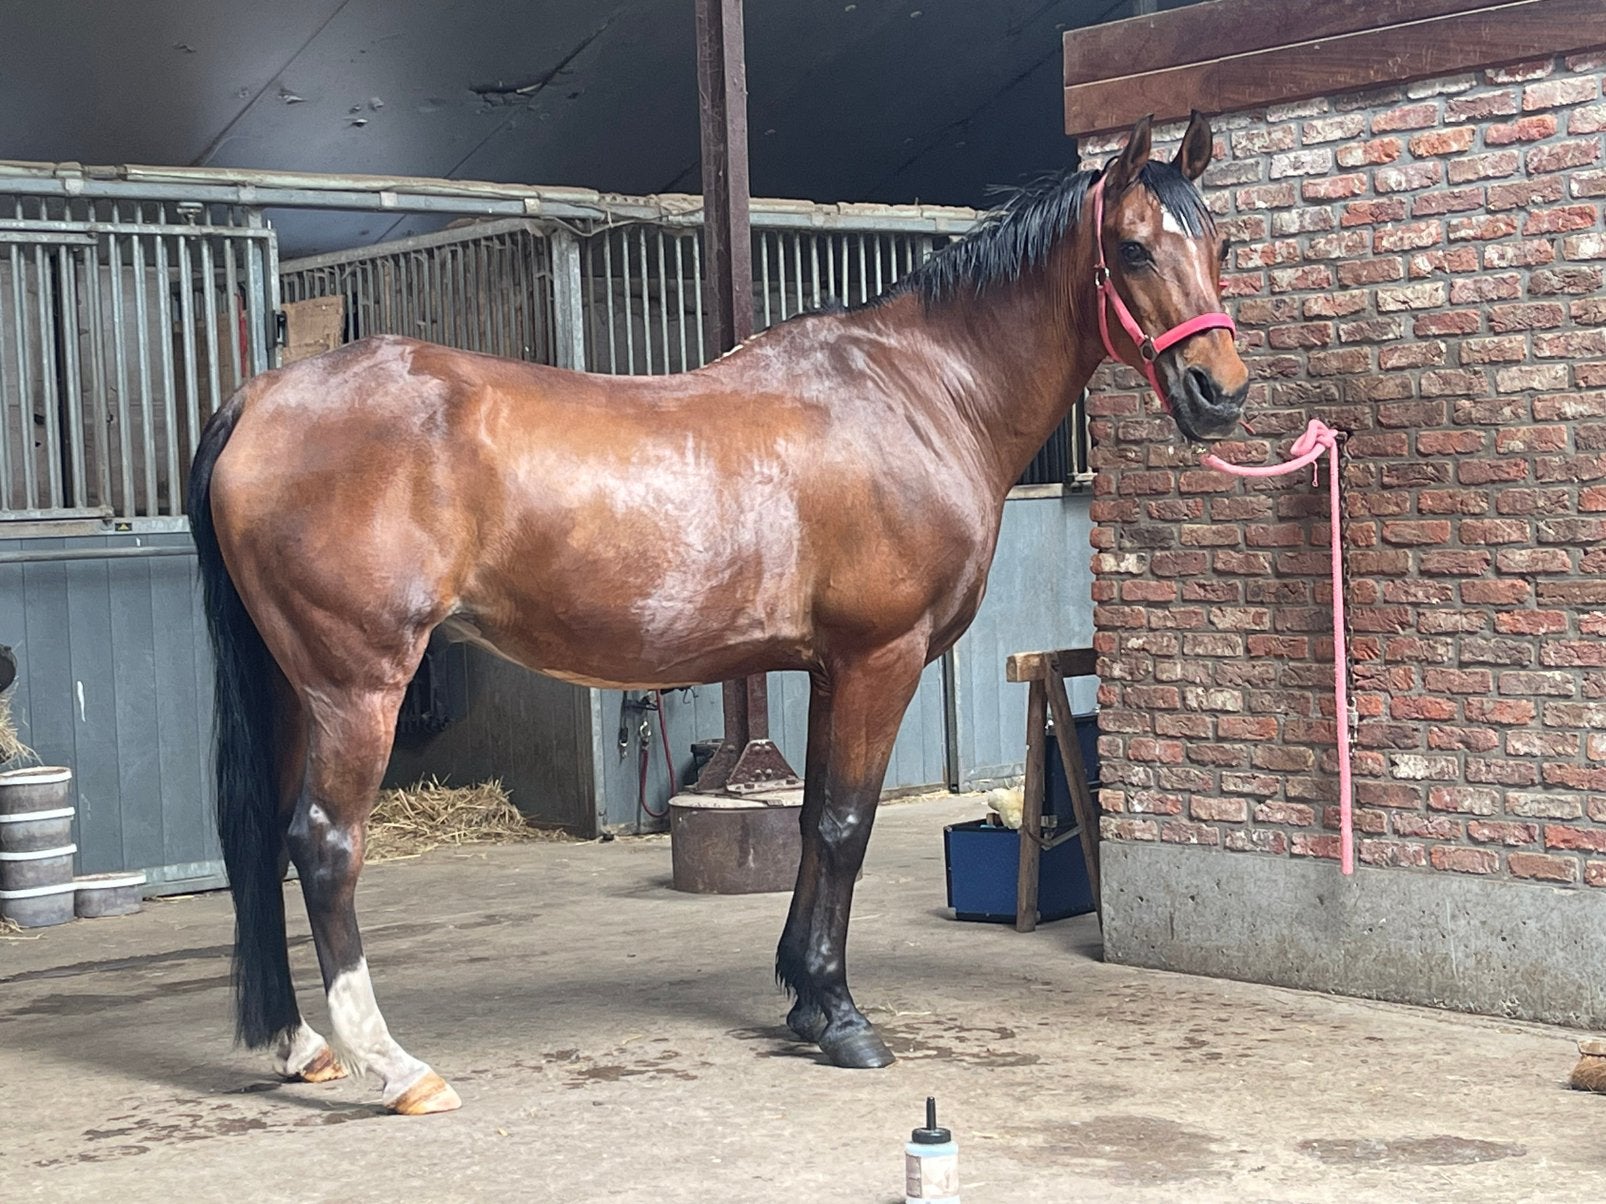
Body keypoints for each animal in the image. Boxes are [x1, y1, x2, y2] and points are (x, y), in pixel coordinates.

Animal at [188, 112, 1248, 1115]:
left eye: (1220, 244)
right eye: (1136, 249)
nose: (1220, 394)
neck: (918, 393)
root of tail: (259, 397)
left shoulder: (827, 667)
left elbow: (817, 816)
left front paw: (805, 999)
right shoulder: (880, 657)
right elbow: (845, 826)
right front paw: (843, 1019)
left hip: (290, 686)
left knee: (261, 838)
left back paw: (300, 1046)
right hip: (356, 685)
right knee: (324, 846)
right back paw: (397, 1068)